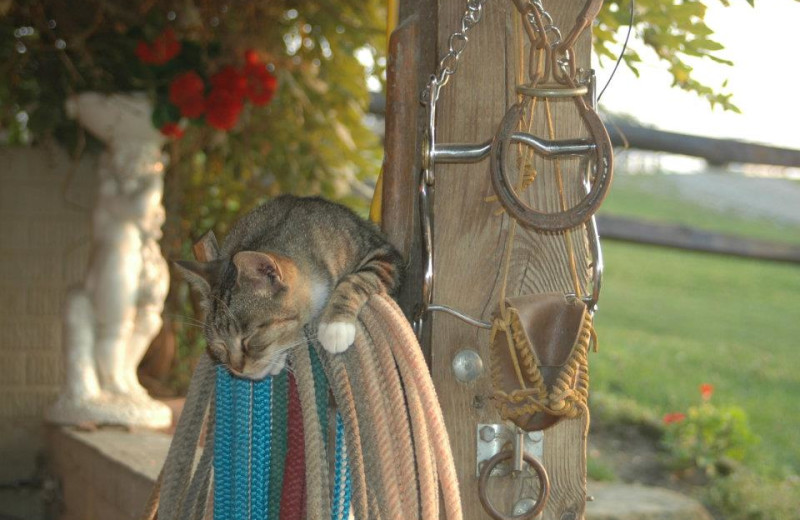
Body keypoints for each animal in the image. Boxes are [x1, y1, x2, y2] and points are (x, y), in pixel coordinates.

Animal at [175, 194, 400, 378]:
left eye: (248, 338)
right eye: (219, 345)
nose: (236, 369)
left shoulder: (383, 254)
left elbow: (356, 280)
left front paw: (336, 326)